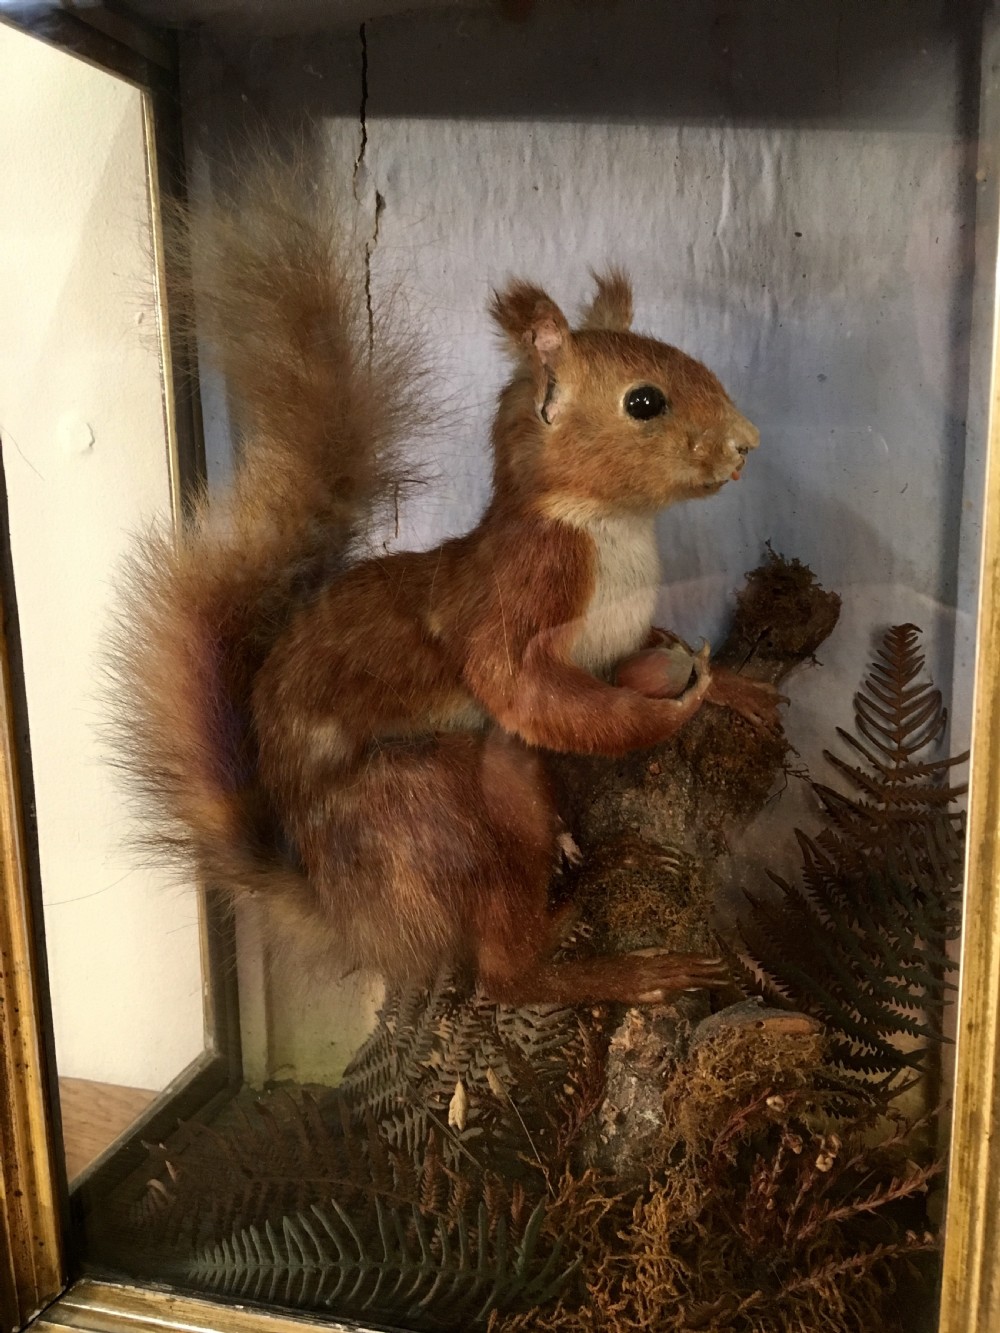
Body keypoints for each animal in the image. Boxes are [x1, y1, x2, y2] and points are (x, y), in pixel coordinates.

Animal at [112, 159, 779, 1009]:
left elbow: (648, 647)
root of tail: (356, 921)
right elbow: (519, 682)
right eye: (644, 401)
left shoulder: (628, 625)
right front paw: (668, 710)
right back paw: (611, 962)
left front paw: (732, 686)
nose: (746, 444)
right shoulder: (526, 587)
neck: (612, 527)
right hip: (449, 809)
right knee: (502, 974)